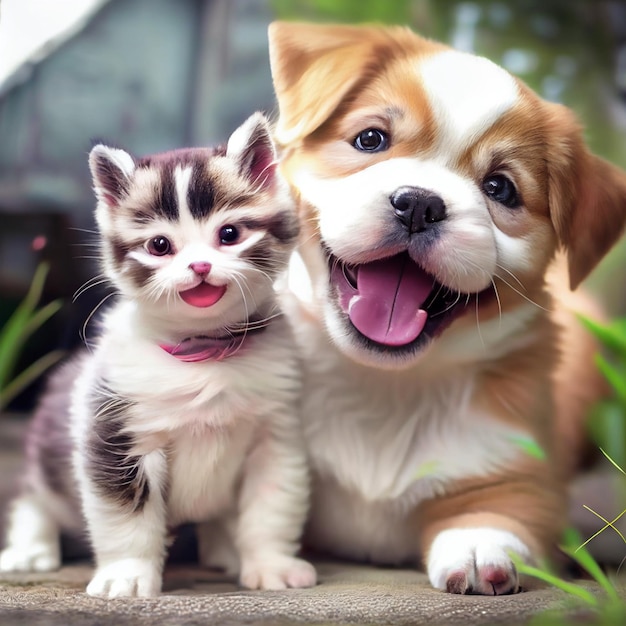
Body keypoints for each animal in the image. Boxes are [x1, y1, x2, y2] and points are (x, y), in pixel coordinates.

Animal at [0, 111, 312, 596]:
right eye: (160, 246)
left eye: (229, 234)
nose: (199, 266)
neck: (205, 350)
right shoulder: (113, 431)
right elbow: (125, 514)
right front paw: (127, 574)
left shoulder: (276, 435)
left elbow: (272, 505)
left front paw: (270, 563)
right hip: (48, 449)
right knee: (32, 493)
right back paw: (31, 548)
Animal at [266, 22, 624, 592]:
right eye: (370, 139)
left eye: (500, 187)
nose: (419, 203)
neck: (384, 386)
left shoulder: (519, 466)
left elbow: (495, 511)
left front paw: (477, 546)